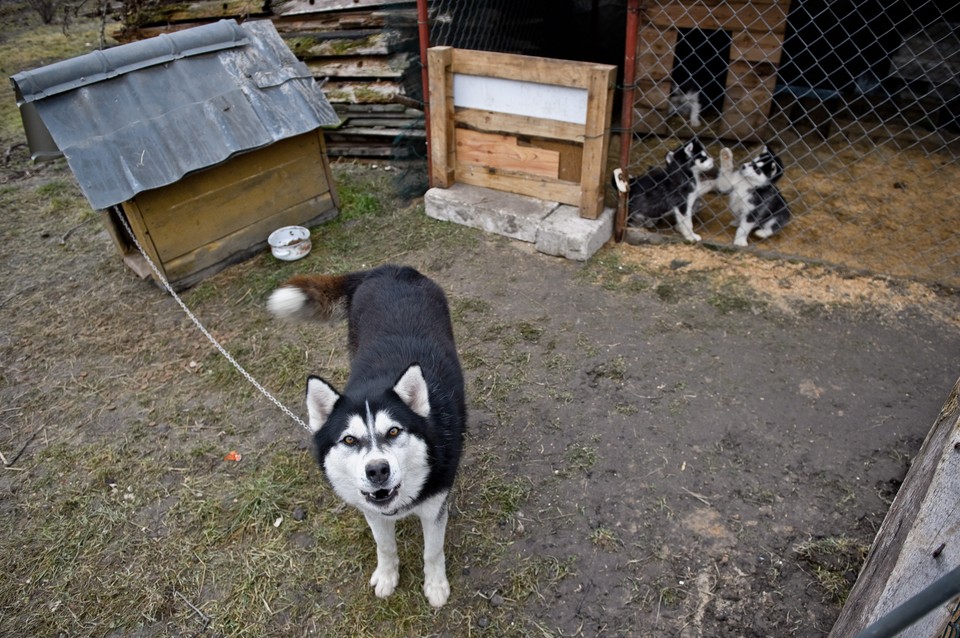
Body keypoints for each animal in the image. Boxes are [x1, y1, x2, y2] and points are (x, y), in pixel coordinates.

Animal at [268, 264, 466, 608]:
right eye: (349, 439)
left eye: (394, 431)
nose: (377, 470)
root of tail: (388, 268)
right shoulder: (371, 511)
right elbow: (384, 546)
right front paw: (387, 576)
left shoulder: (435, 506)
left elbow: (432, 551)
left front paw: (436, 586)